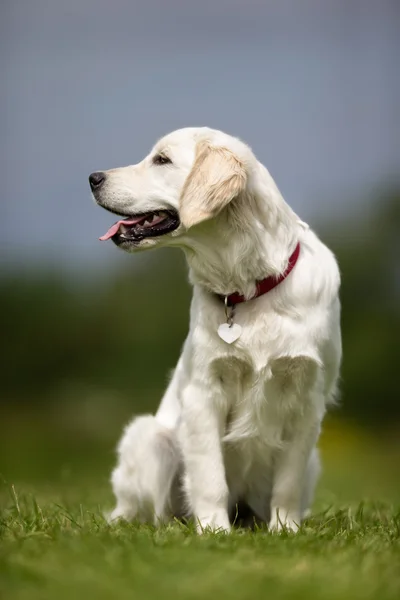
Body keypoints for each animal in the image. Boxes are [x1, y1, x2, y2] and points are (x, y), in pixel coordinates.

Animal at [90, 125, 340, 528]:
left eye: (162, 159)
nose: (93, 178)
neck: (247, 287)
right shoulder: (203, 391)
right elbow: (209, 476)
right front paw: (214, 530)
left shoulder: (307, 396)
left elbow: (288, 480)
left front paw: (285, 529)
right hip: (150, 438)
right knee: (145, 511)